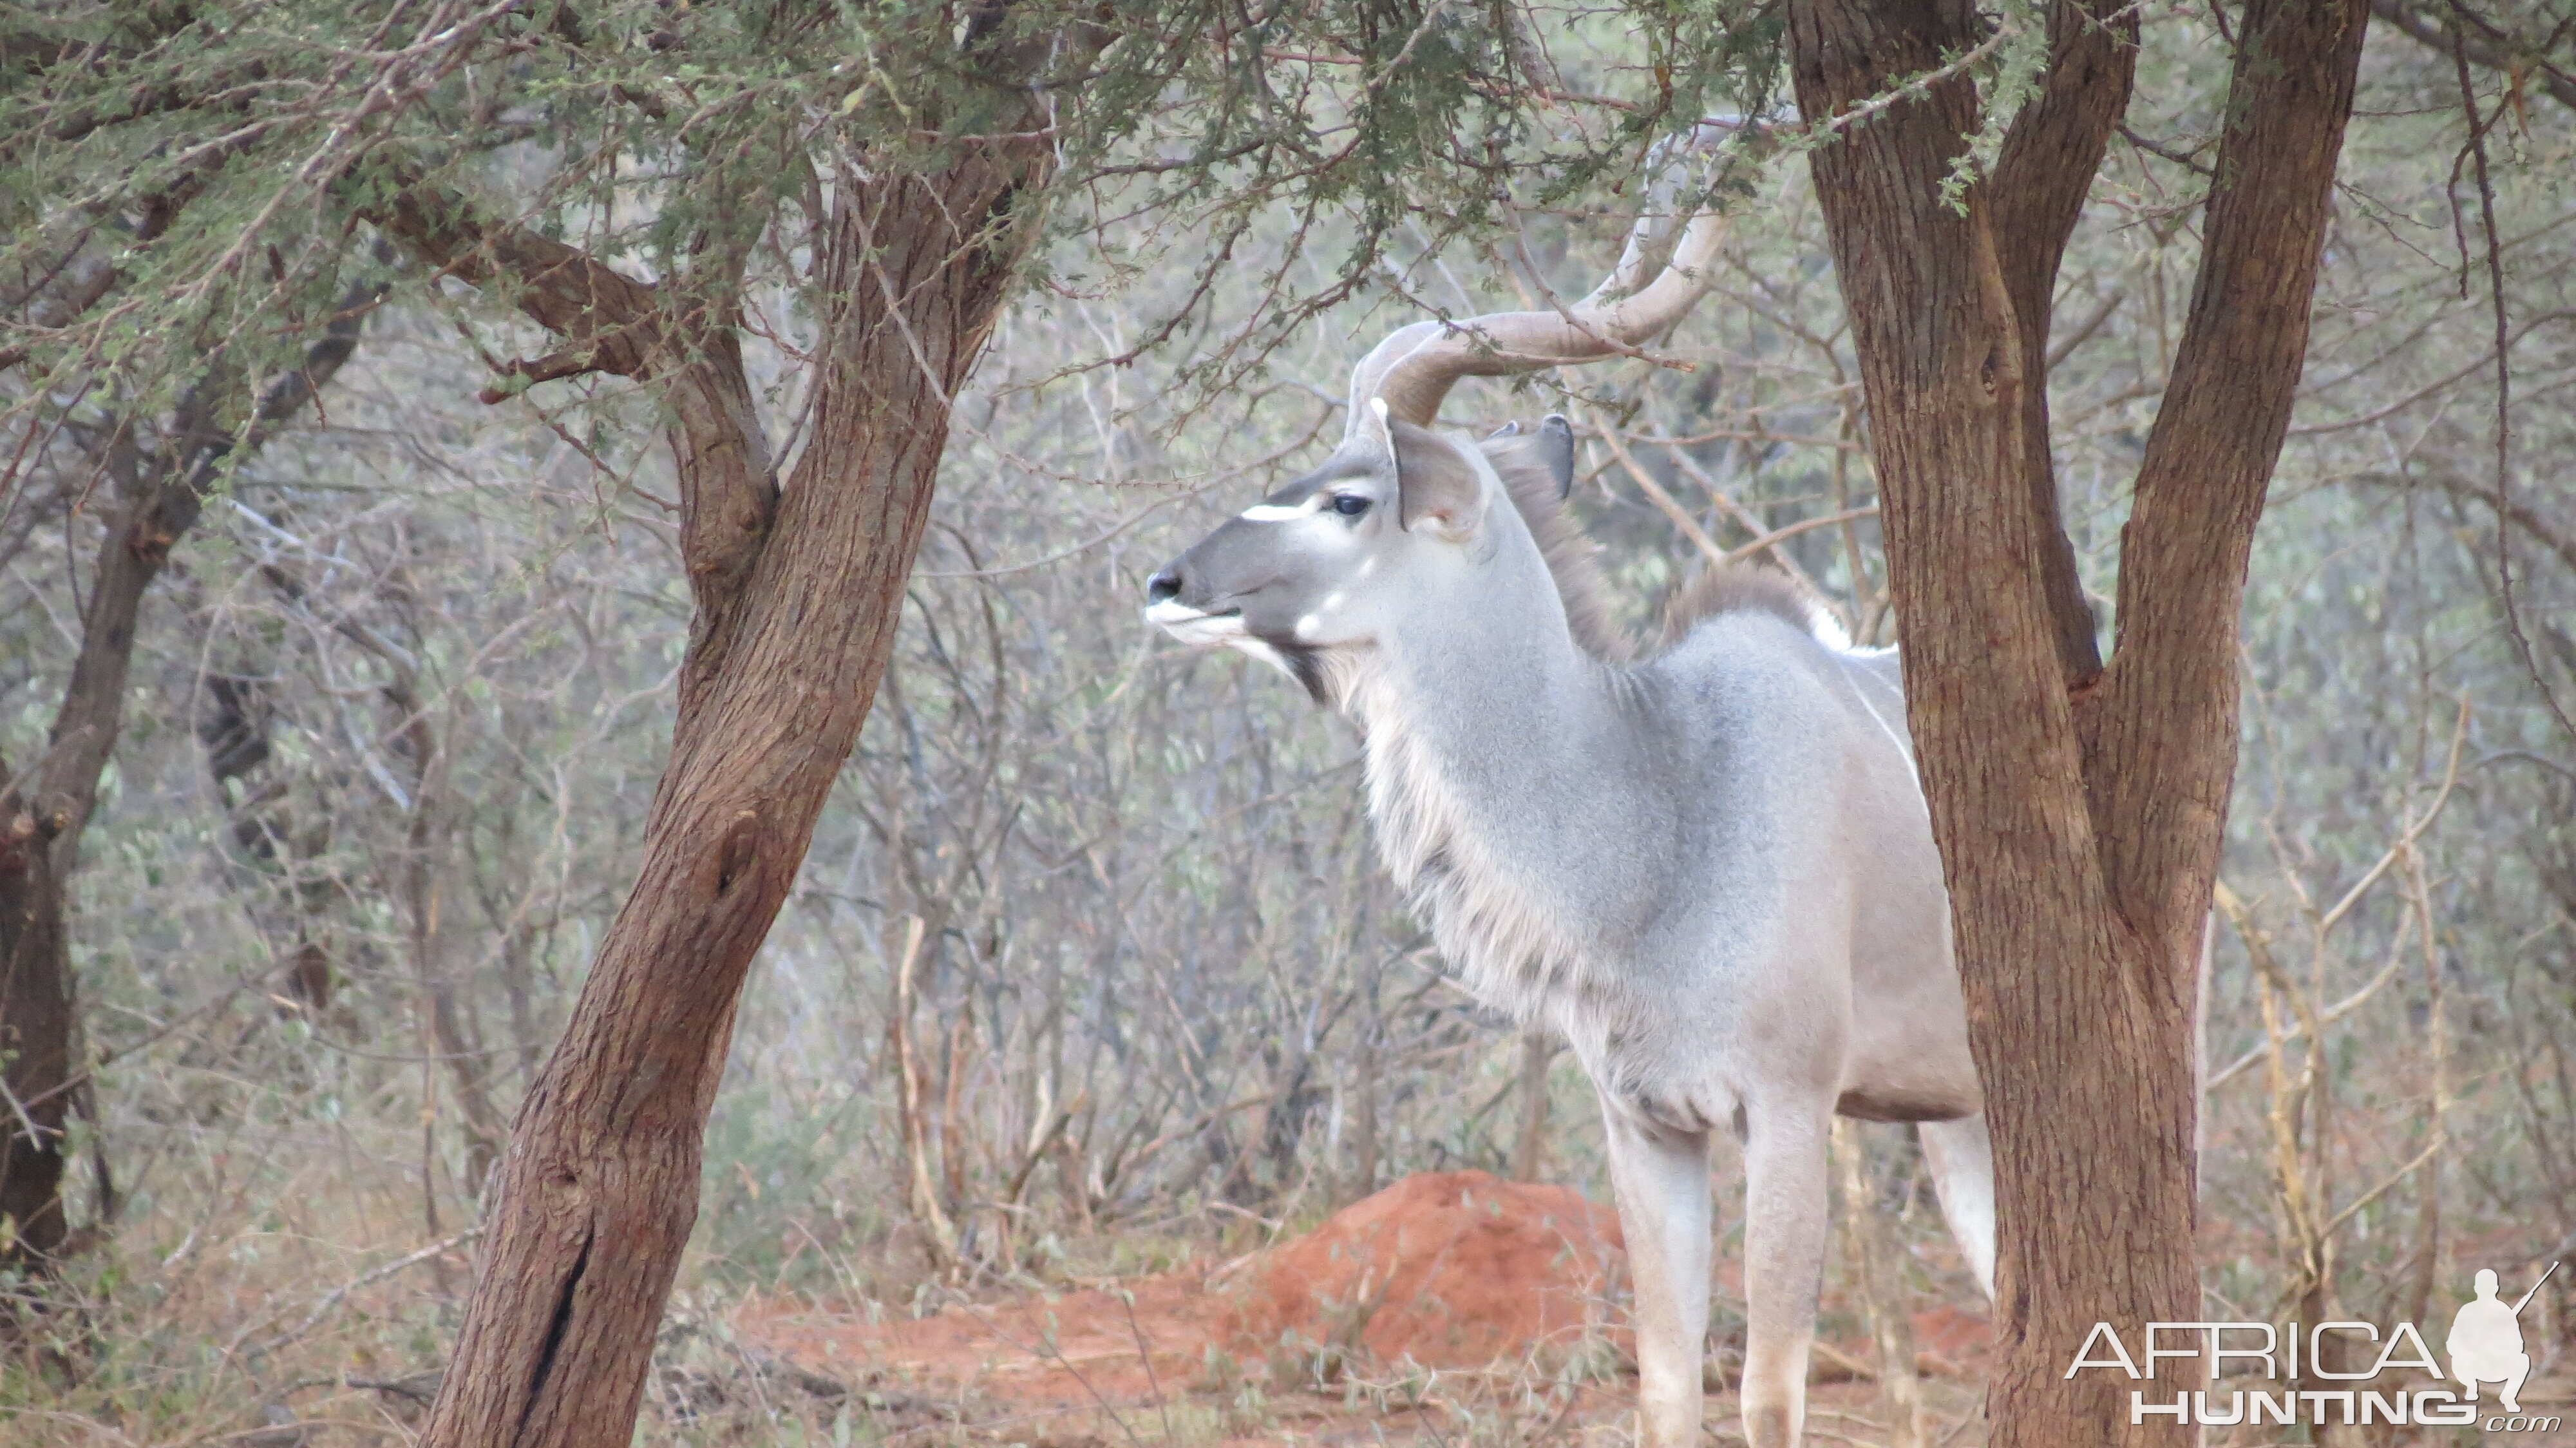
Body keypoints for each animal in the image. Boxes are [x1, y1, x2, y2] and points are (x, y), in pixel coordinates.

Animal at [1144, 155, 1989, 1443]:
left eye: (1350, 499)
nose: (1168, 582)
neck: (1667, 806)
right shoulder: (1645, 1125)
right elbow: (1666, 1383)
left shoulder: (1789, 1109)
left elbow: (1769, 1389)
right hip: (1960, 1122)